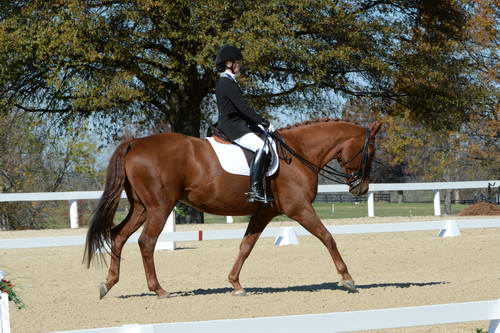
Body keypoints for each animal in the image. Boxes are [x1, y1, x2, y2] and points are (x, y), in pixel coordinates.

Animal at [85, 118, 382, 298]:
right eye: (370, 152)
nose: (361, 189)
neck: (297, 153)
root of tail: (135, 142)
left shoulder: (265, 212)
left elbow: (246, 246)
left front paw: (235, 283)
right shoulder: (299, 208)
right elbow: (327, 237)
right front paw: (347, 278)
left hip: (141, 208)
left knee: (118, 236)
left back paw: (107, 284)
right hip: (159, 207)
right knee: (146, 242)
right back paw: (159, 290)